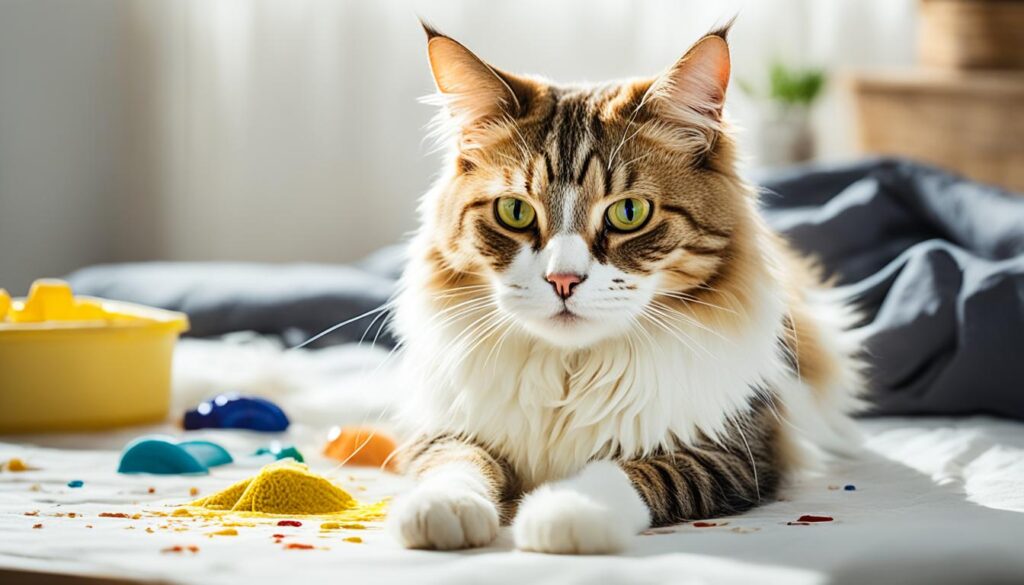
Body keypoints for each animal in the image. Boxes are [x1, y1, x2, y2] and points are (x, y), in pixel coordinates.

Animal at [385, 21, 864, 553]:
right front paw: (442, 508)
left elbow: (631, 471)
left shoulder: (737, 450)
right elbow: (454, 462)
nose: (562, 280)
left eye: (629, 213)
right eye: (515, 211)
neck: (570, 372)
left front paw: (562, 512)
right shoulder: (442, 427)